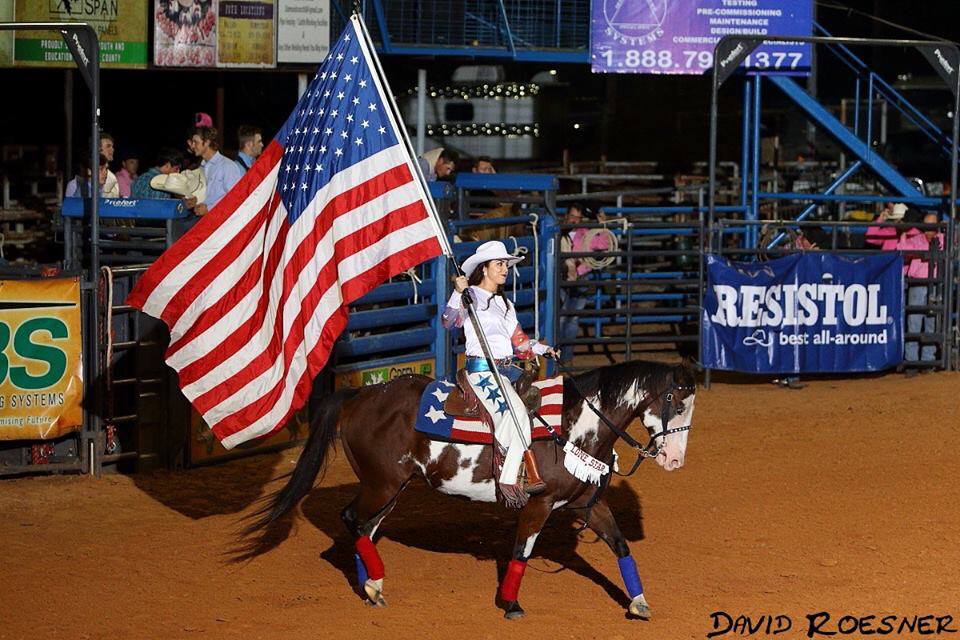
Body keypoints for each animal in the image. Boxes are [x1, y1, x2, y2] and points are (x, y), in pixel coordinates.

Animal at [246, 358, 696, 616]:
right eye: (676, 400)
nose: (675, 461)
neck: (570, 426)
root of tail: (359, 394)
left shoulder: (585, 501)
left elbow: (620, 545)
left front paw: (639, 602)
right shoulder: (539, 504)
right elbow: (521, 553)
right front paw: (510, 604)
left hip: (391, 487)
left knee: (365, 528)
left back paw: (372, 587)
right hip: (382, 484)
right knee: (352, 519)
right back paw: (372, 584)